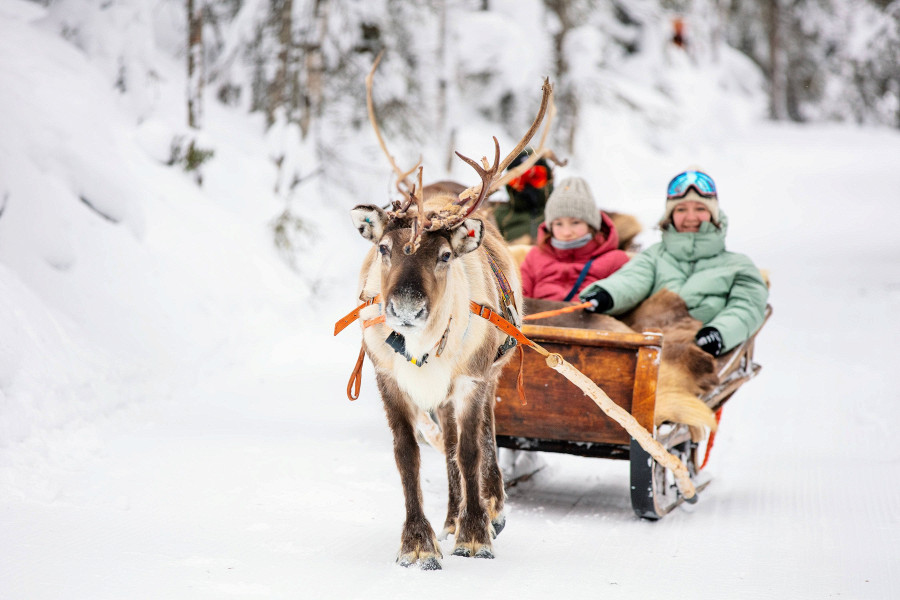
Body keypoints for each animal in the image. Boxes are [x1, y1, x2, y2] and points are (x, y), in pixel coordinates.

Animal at [344, 55, 559, 570]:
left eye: (443, 256)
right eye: (383, 248)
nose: (405, 306)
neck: (422, 349)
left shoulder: (471, 379)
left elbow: (469, 450)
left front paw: (476, 533)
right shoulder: (389, 380)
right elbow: (409, 455)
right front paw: (419, 542)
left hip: (492, 372)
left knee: (483, 436)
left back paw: (492, 507)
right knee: (443, 447)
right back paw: (449, 516)